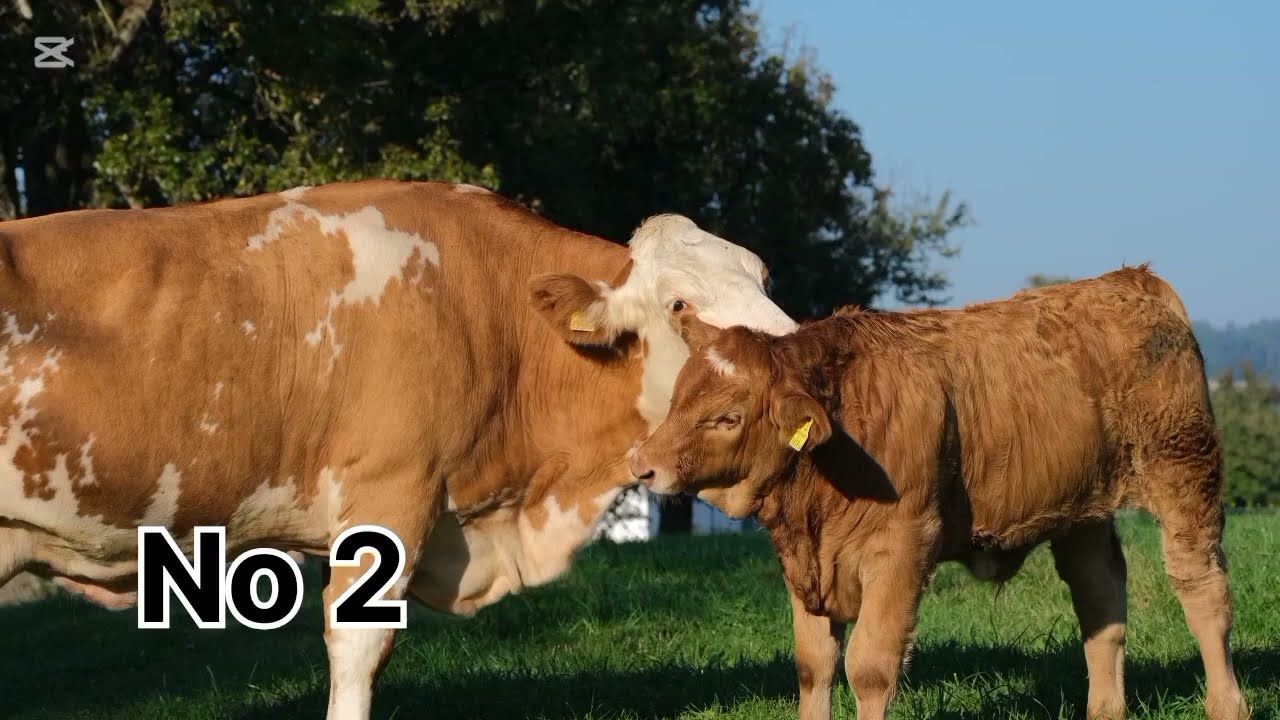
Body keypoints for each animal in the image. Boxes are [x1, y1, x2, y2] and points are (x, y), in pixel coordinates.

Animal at [628, 265, 1251, 720]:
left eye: (728, 417)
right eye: (678, 397)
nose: (642, 465)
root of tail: (1131, 280)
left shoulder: (903, 548)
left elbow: (870, 666)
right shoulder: (805, 563)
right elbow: (814, 664)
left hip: (1185, 472)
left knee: (1203, 592)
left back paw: (1226, 705)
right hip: (1082, 512)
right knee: (1100, 602)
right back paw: (1105, 711)